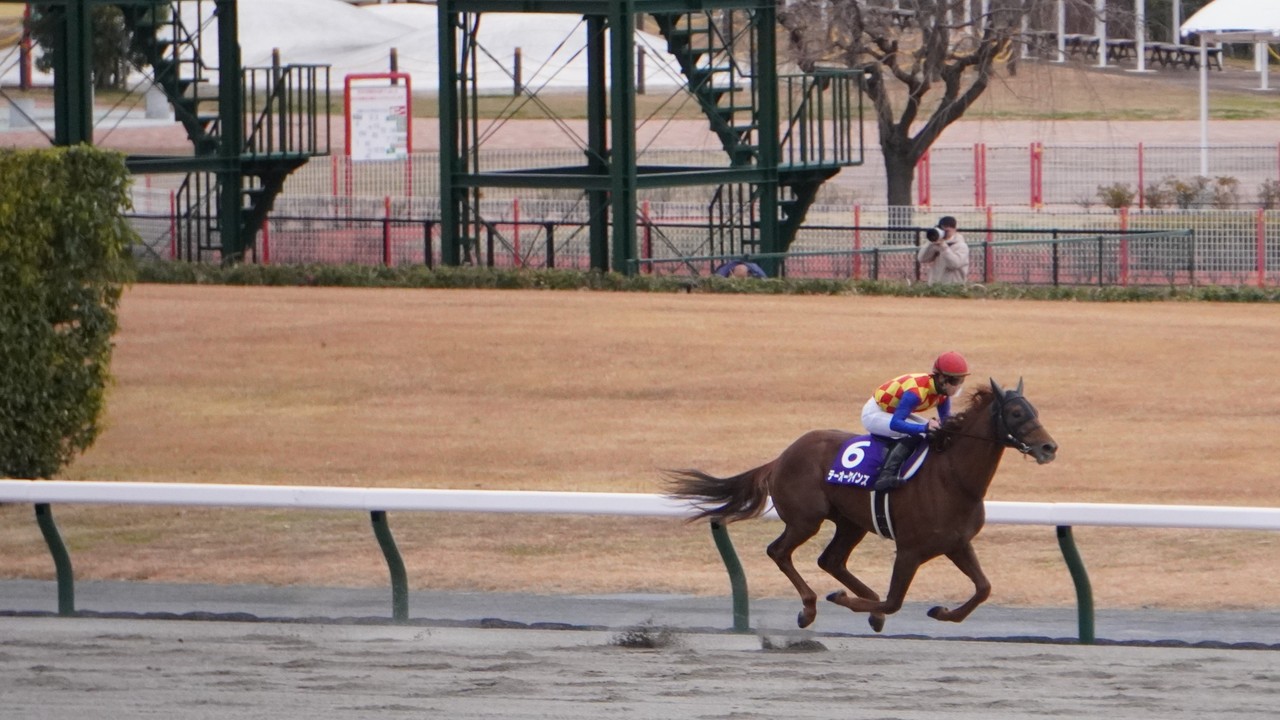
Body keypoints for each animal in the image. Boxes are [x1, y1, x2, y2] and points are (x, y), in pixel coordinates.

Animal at [665, 376, 1054, 627]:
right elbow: (895, 601)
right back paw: (810, 608)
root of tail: (781, 457)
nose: (1049, 447)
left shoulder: (956, 543)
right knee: (779, 552)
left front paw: (943, 613)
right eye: (1016, 414)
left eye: (1035, 409)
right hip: (807, 518)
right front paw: (846, 601)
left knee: (831, 560)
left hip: (850, 522)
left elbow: (983, 588)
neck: (953, 478)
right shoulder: (910, 550)